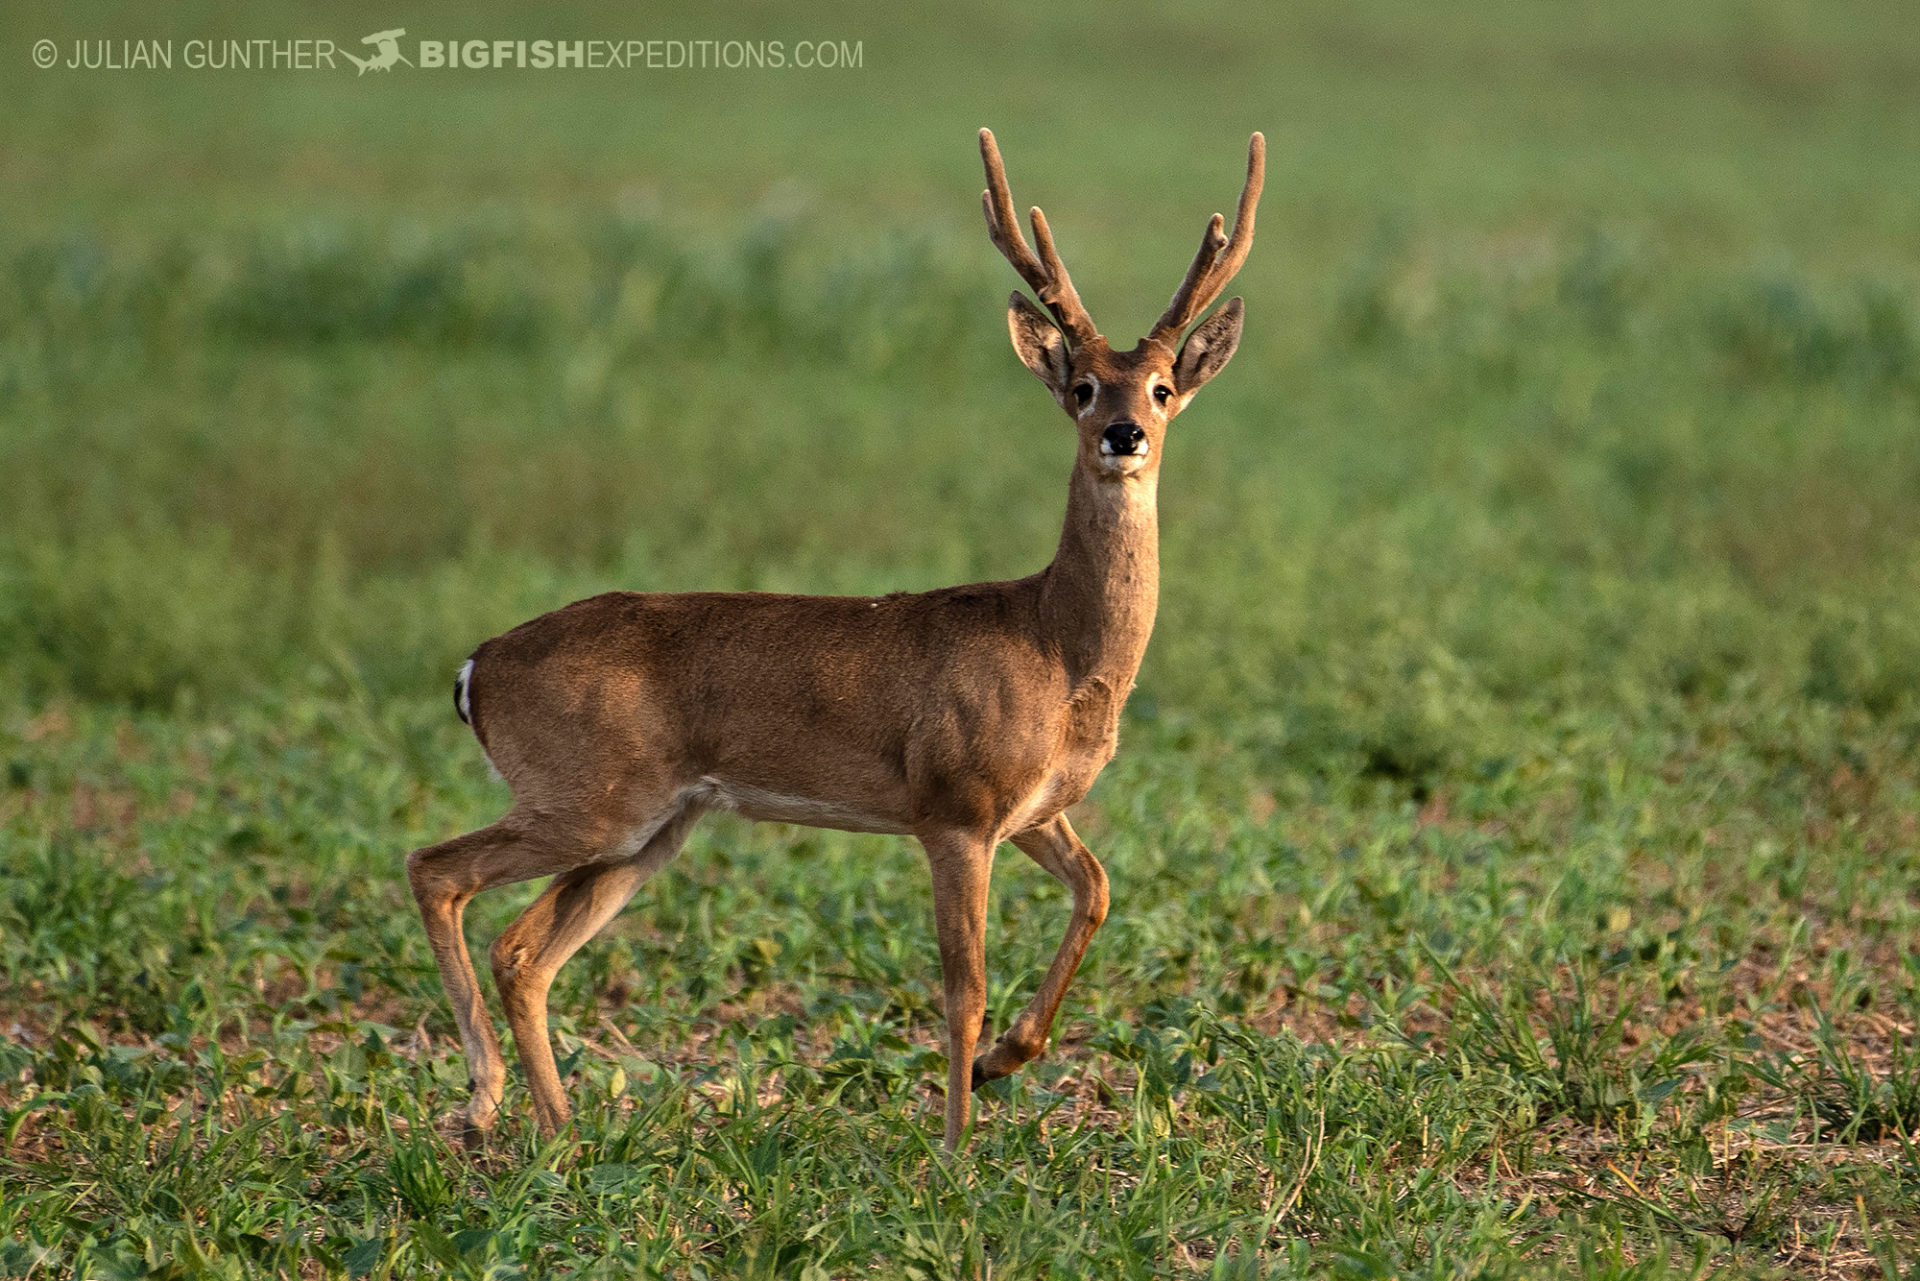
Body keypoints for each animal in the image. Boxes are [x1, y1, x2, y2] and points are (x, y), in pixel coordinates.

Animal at [405, 127, 1264, 1149]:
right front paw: (953, 1145)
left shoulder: (1033, 809)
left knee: (523, 946)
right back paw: (484, 1096)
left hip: (648, 827)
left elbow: (1096, 889)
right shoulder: (954, 808)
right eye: (1085, 386)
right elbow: (962, 987)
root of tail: (475, 668)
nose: (1125, 433)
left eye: (1165, 386)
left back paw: (564, 1126)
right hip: (587, 801)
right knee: (437, 869)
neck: (1058, 649)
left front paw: (1006, 1060)